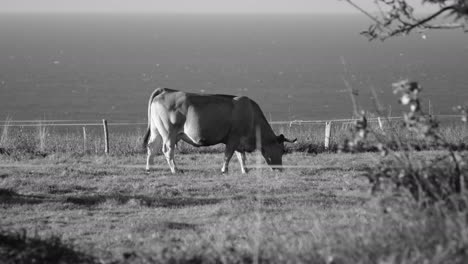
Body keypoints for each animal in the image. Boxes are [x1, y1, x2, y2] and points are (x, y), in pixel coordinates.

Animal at [142, 88, 296, 173]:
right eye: (282, 150)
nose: (280, 169)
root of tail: (166, 91)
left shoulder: (239, 141)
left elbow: (241, 156)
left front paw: (245, 170)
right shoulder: (233, 138)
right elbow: (228, 155)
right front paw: (224, 170)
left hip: (157, 131)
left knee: (152, 147)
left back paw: (150, 168)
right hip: (169, 133)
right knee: (168, 150)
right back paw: (175, 170)